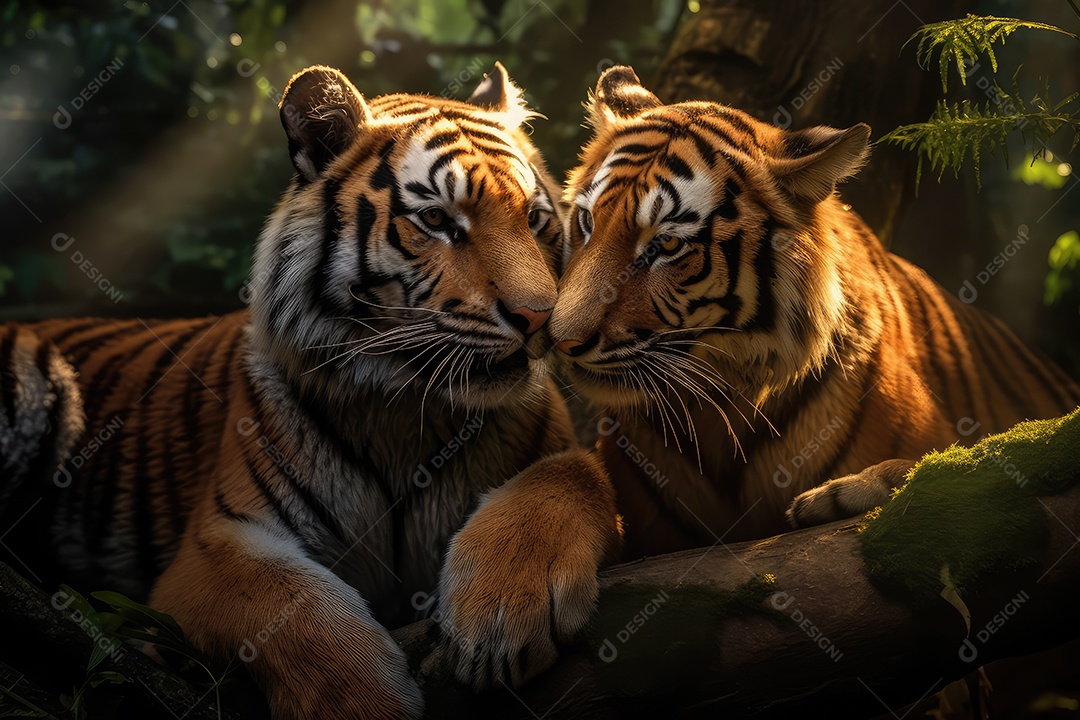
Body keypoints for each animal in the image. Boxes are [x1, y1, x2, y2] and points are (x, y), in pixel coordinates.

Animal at [0, 63, 622, 719]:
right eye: (436, 222)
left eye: (534, 219)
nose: (539, 318)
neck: (410, 408)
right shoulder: (211, 547)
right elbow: (285, 604)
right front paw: (364, 703)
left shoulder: (560, 460)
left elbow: (572, 475)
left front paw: (502, 615)